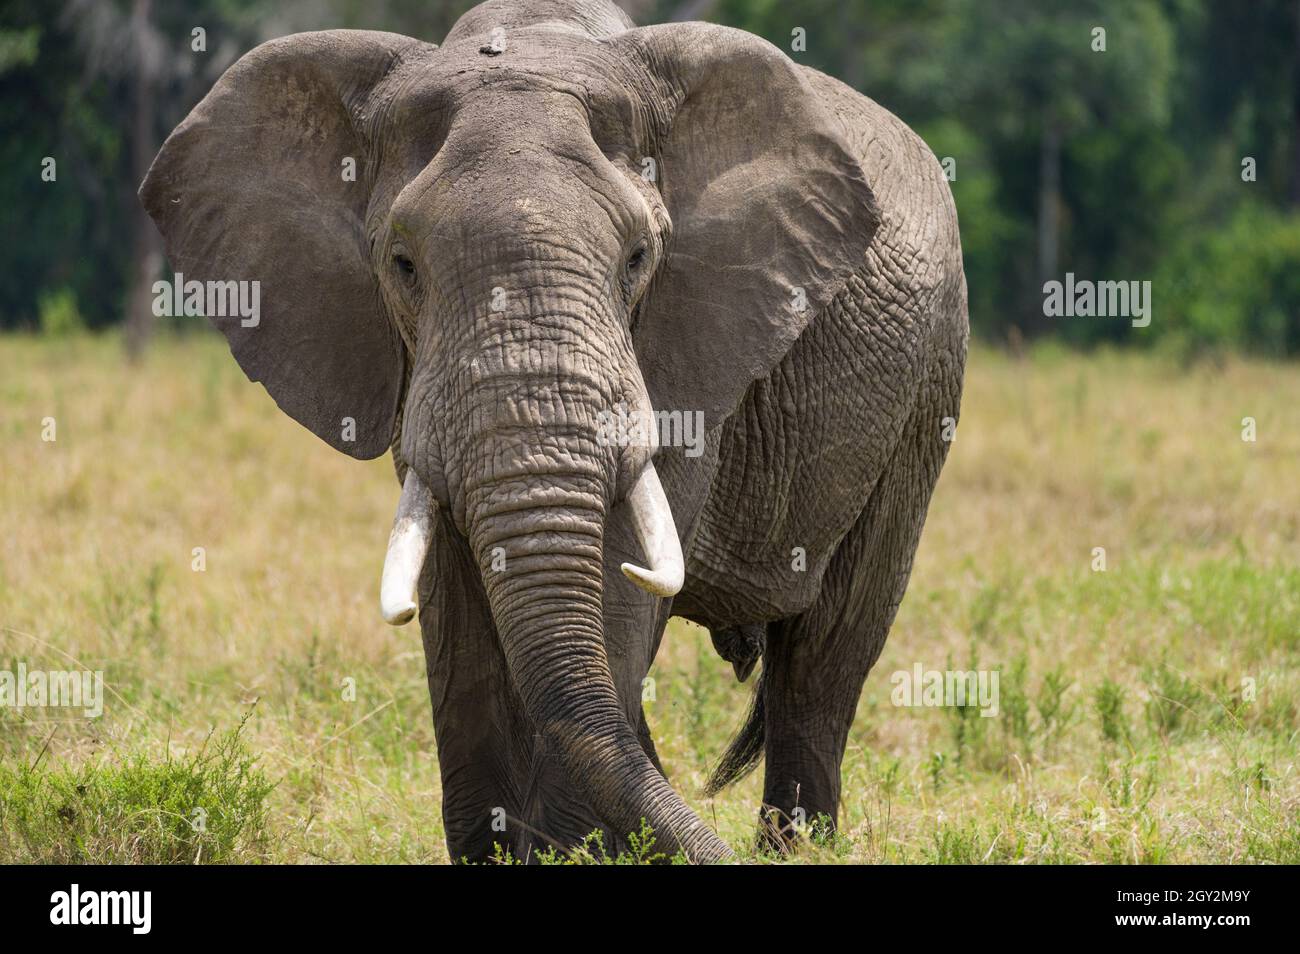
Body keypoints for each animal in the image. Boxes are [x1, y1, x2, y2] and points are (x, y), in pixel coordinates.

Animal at [142, 0, 972, 868]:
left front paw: (575, 851)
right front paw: (511, 848)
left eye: (638, 257)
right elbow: (456, 596)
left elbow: (617, 574)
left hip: (928, 384)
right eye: (402, 265)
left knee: (826, 657)